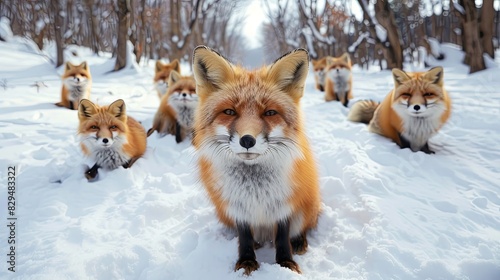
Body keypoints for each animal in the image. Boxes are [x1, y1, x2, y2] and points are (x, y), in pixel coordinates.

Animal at [191, 46, 320, 276]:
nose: (247, 140)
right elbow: (245, 237)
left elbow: (282, 236)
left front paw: (285, 263)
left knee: (302, 227)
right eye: (229, 111)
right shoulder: (237, 205)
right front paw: (246, 262)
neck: (255, 188)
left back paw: (299, 241)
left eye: (269, 112)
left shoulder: (284, 201)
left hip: (309, 205)